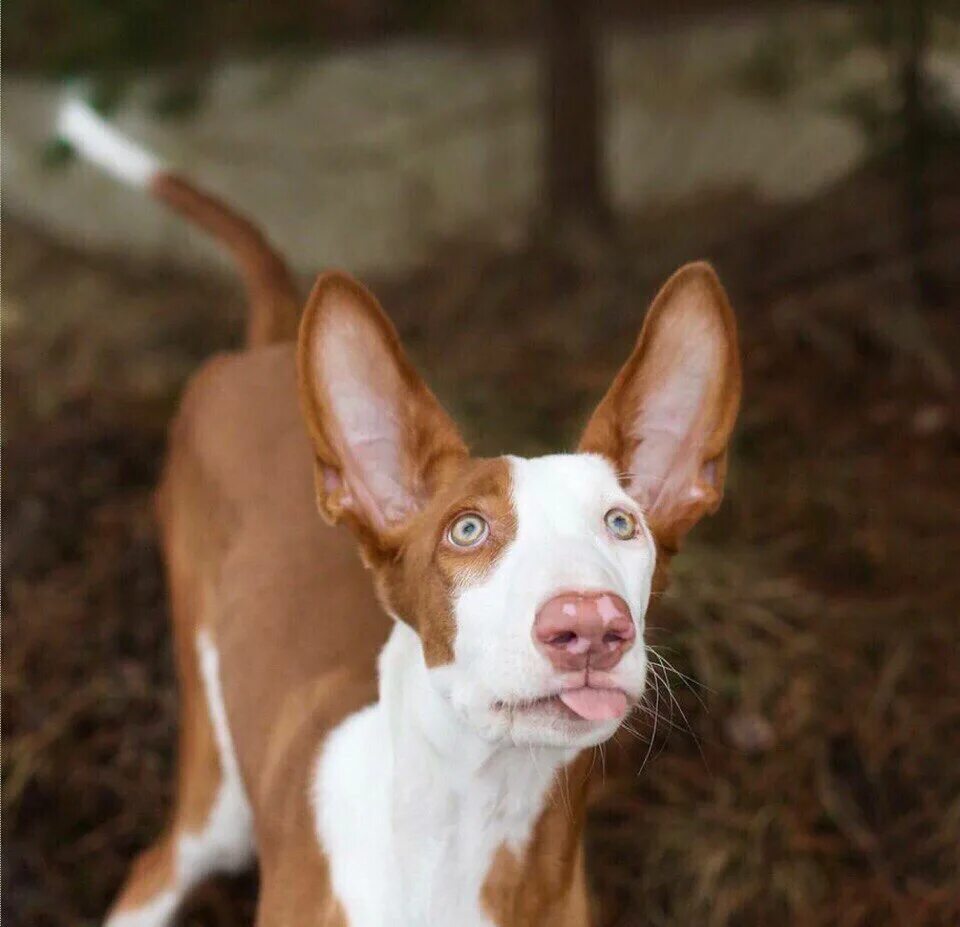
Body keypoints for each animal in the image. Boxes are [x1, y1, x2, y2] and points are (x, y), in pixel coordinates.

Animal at [60, 98, 744, 924]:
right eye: (467, 529)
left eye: (622, 523)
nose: (589, 624)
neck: (476, 832)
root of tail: (271, 345)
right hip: (212, 780)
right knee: (156, 865)